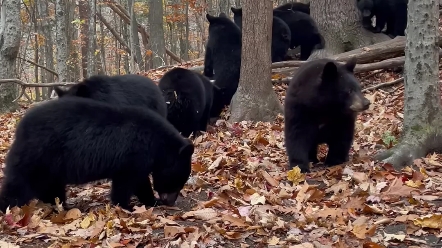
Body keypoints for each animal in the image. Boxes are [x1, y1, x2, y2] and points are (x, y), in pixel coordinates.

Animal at [0, 97, 193, 211]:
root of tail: (20, 129)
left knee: (52, 187)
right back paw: (8, 207)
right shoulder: (134, 155)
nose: (170, 201)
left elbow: (136, 181)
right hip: (38, 155)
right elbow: (129, 182)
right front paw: (127, 205)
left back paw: (60, 206)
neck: (157, 143)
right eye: (178, 180)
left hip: (51, 165)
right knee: (19, 184)